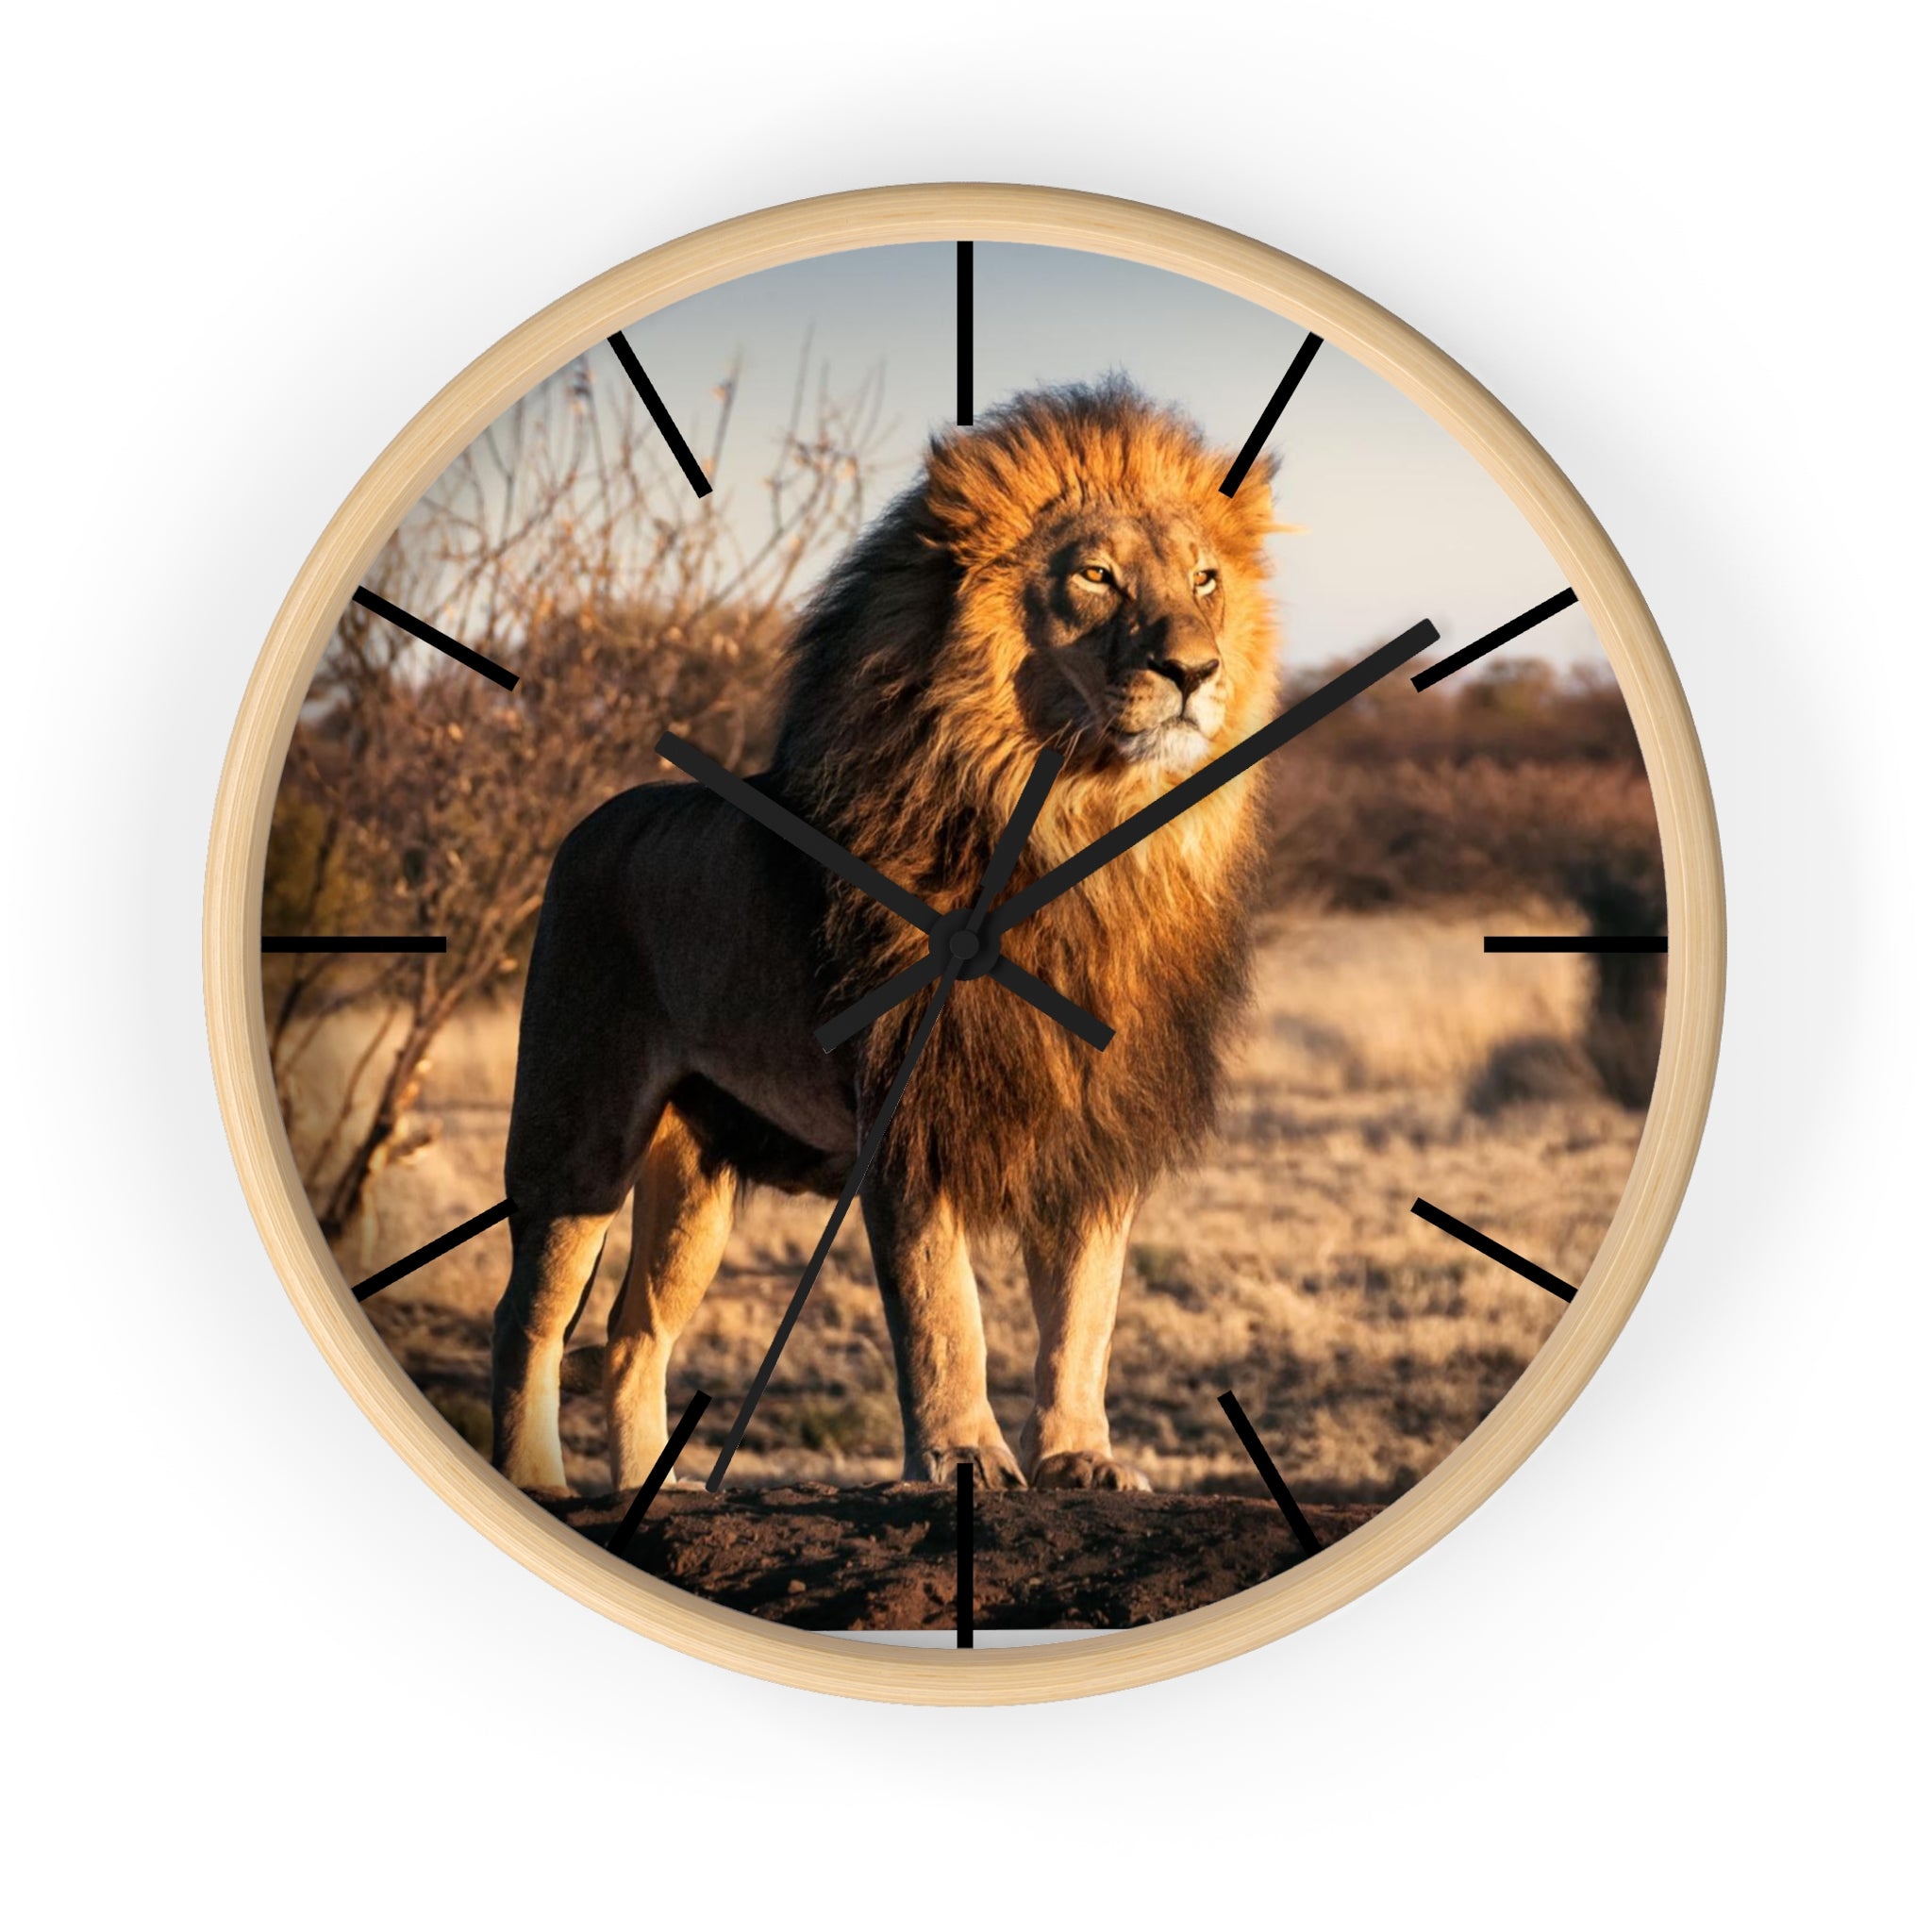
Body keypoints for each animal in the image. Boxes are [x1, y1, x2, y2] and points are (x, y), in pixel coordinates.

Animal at [491, 379, 1282, 1497]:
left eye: (1205, 579)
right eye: (1095, 575)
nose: (1194, 668)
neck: (1078, 829)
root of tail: (592, 821)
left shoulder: (1097, 1127)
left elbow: (1083, 1313)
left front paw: (1080, 1457)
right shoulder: (909, 1110)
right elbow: (944, 1309)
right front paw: (962, 1458)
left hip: (695, 1179)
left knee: (634, 1332)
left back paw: (659, 1486)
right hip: (579, 1133)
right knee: (528, 1313)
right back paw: (536, 1482)